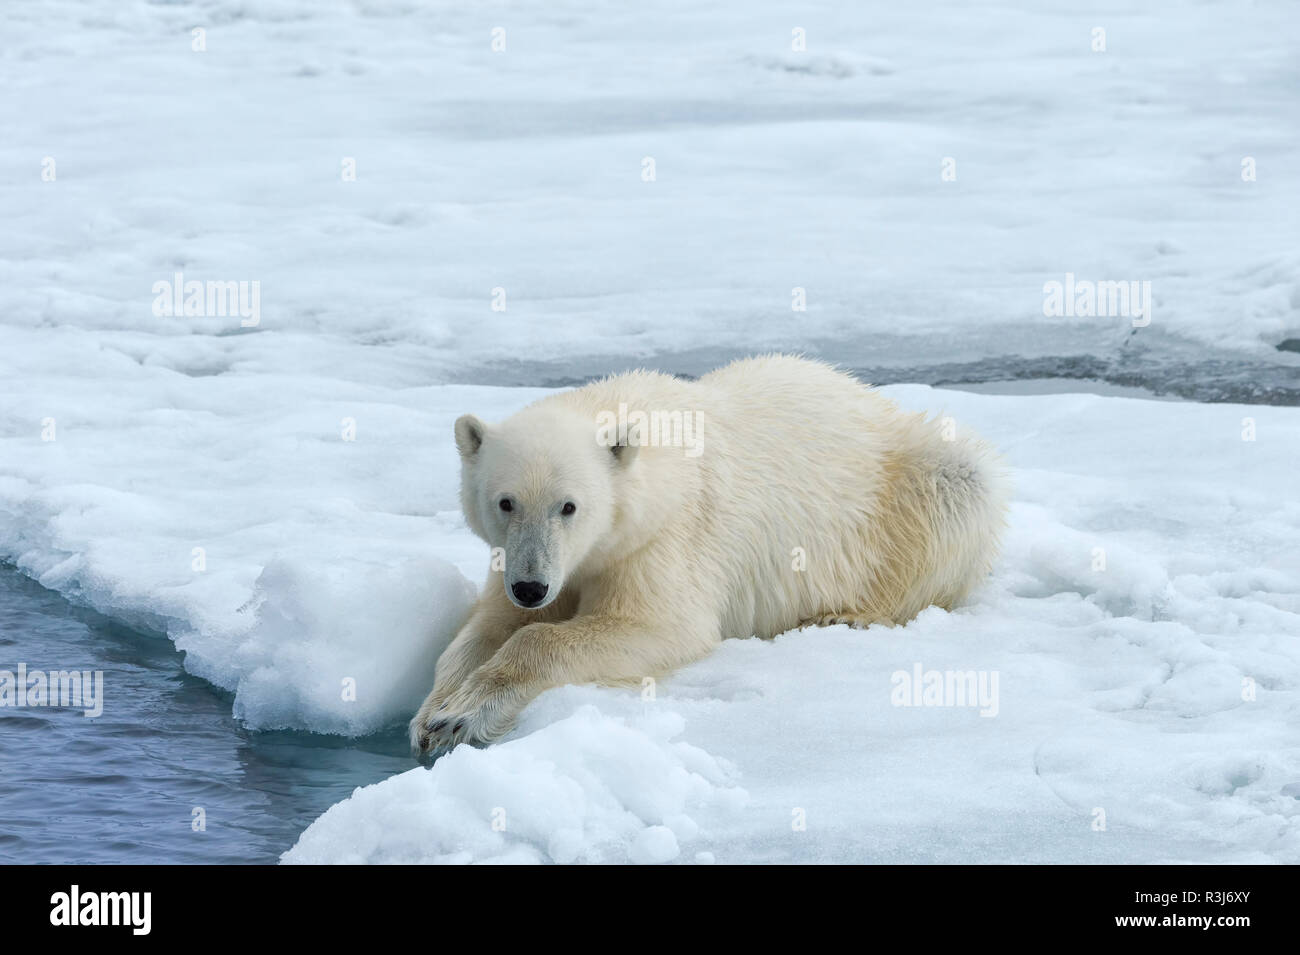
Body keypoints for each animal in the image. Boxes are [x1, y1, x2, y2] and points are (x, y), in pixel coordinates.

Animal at [410, 353, 998, 753]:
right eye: (505, 502)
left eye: (569, 505)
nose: (532, 587)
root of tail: (875, 398)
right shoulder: (520, 559)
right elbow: (485, 627)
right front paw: (433, 715)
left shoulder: (666, 540)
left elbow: (660, 627)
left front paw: (465, 716)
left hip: (909, 482)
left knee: (958, 483)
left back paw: (844, 614)